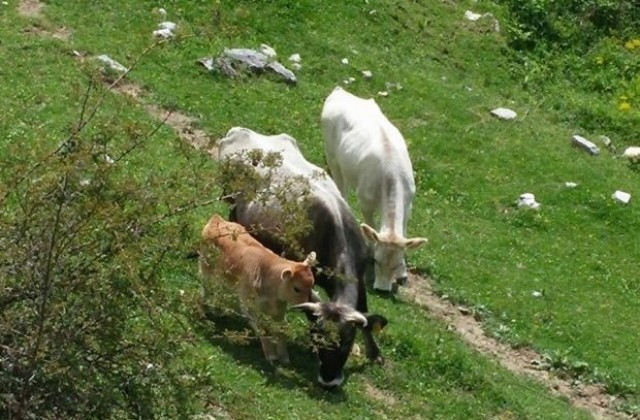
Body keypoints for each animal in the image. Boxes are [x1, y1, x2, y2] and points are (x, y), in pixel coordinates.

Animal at [198, 215, 312, 362]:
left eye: (312, 286)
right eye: (297, 288)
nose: (306, 306)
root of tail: (217, 219)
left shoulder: (279, 310)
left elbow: (281, 329)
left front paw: (284, 357)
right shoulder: (248, 306)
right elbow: (262, 327)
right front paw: (270, 355)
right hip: (205, 270)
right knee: (206, 288)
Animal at [220, 127, 384, 388]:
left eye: (347, 342)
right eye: (317, 336)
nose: (329, 381)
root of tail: (242, 131)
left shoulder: (358, 276)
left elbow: (365, 312)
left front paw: (375, 353)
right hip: (232, 202)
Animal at [322, 86, 428, 292]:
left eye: (397, 264)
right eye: (377, 261)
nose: (382, 289)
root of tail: (340, 91)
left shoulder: (409, 205)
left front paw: (403, 274)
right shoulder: (365, 201)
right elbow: (370, 227)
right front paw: (369, 250)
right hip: (332, 156)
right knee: (341, 187)